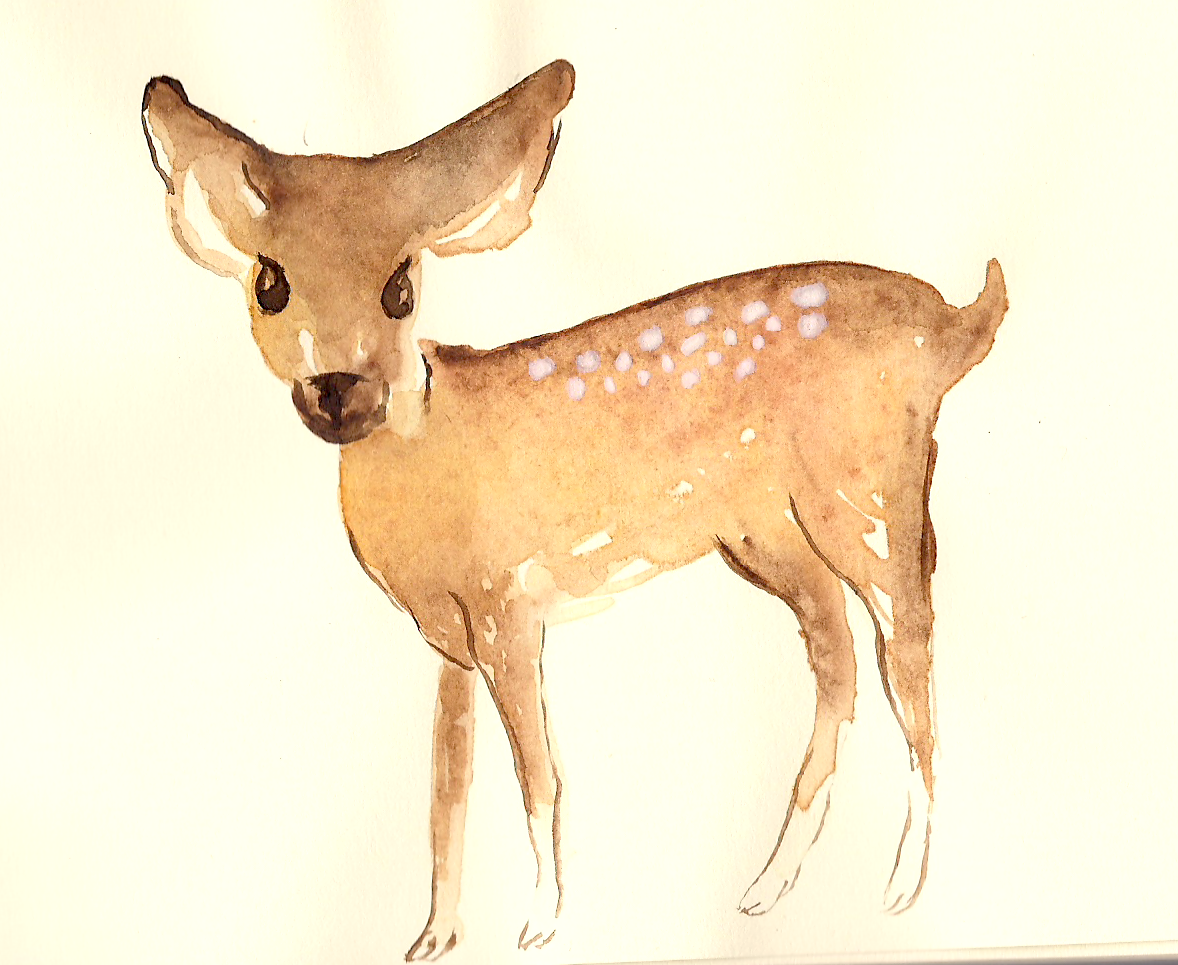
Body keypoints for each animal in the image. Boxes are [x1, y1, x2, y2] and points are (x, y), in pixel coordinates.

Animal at [141, 59, 1007, 959]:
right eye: (270, 281)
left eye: (400, 286)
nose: (340, 391)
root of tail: (954, 326)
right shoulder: (447, 636)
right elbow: (447, 785)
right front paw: (432, 936)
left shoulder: (506, 600)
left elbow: (538, 771)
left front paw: (540, 922)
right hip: (765, 531)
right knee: (839, 658)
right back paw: (768, 888)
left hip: (866, 492)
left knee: (912, 659)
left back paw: (901, 889)